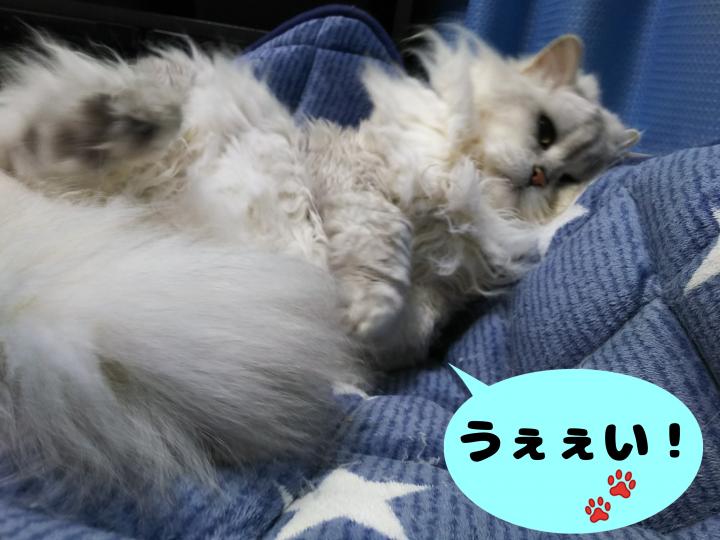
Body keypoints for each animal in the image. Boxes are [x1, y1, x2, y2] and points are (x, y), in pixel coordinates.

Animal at [0, 30, 638, 500]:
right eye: (544, 132)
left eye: (568, 180)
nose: (538, 175)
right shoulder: (355, 179)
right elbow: (384, 239)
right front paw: (362, 307)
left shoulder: (436, 303)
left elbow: (412, 317)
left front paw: (358, 330)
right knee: (39, 145)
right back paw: (123, 121)